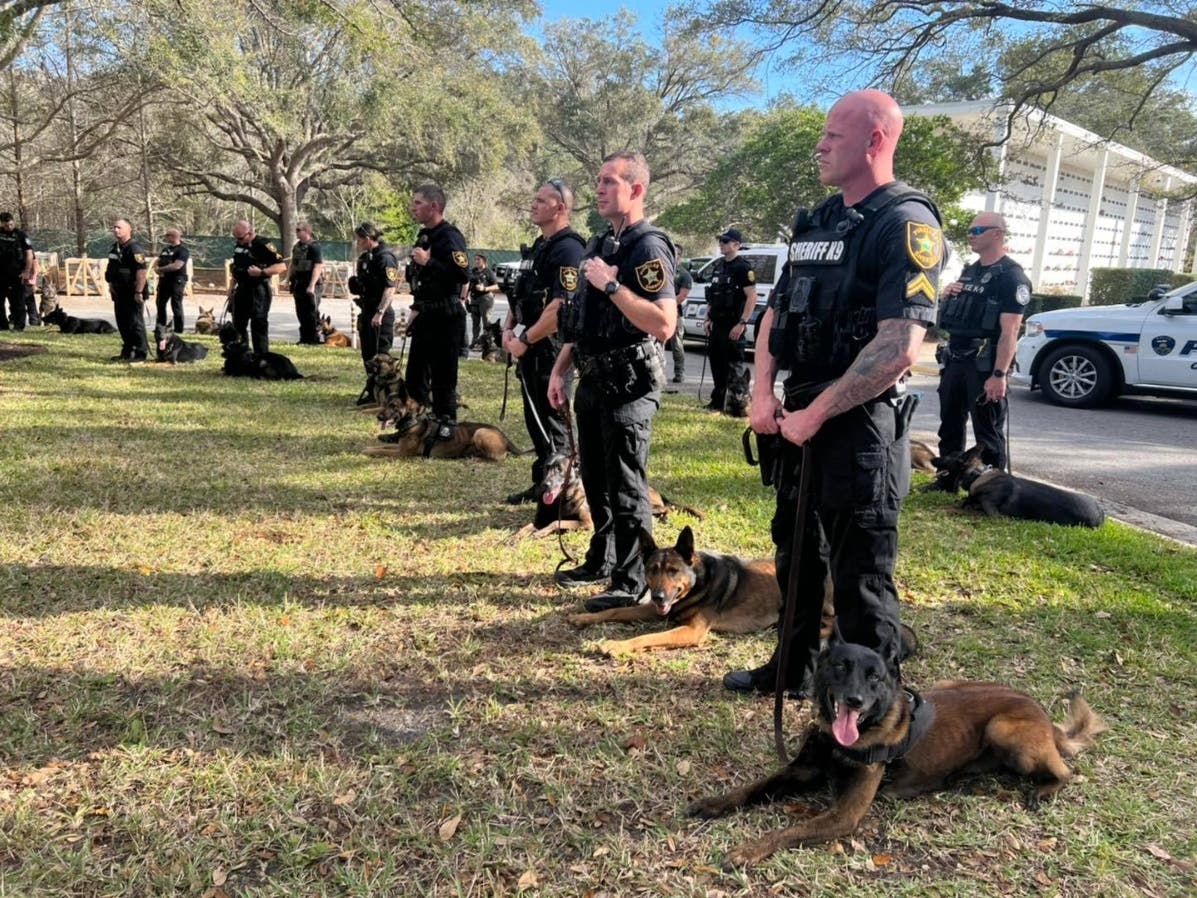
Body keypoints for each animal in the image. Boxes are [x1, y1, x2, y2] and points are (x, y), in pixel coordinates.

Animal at [933, 447, 1101, 531]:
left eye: (947, 456)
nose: (932, 459)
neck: (978, 475)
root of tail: (1101, 513)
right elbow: (958, 504)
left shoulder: (994, 515)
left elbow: (958, 509)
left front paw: (942, 509)